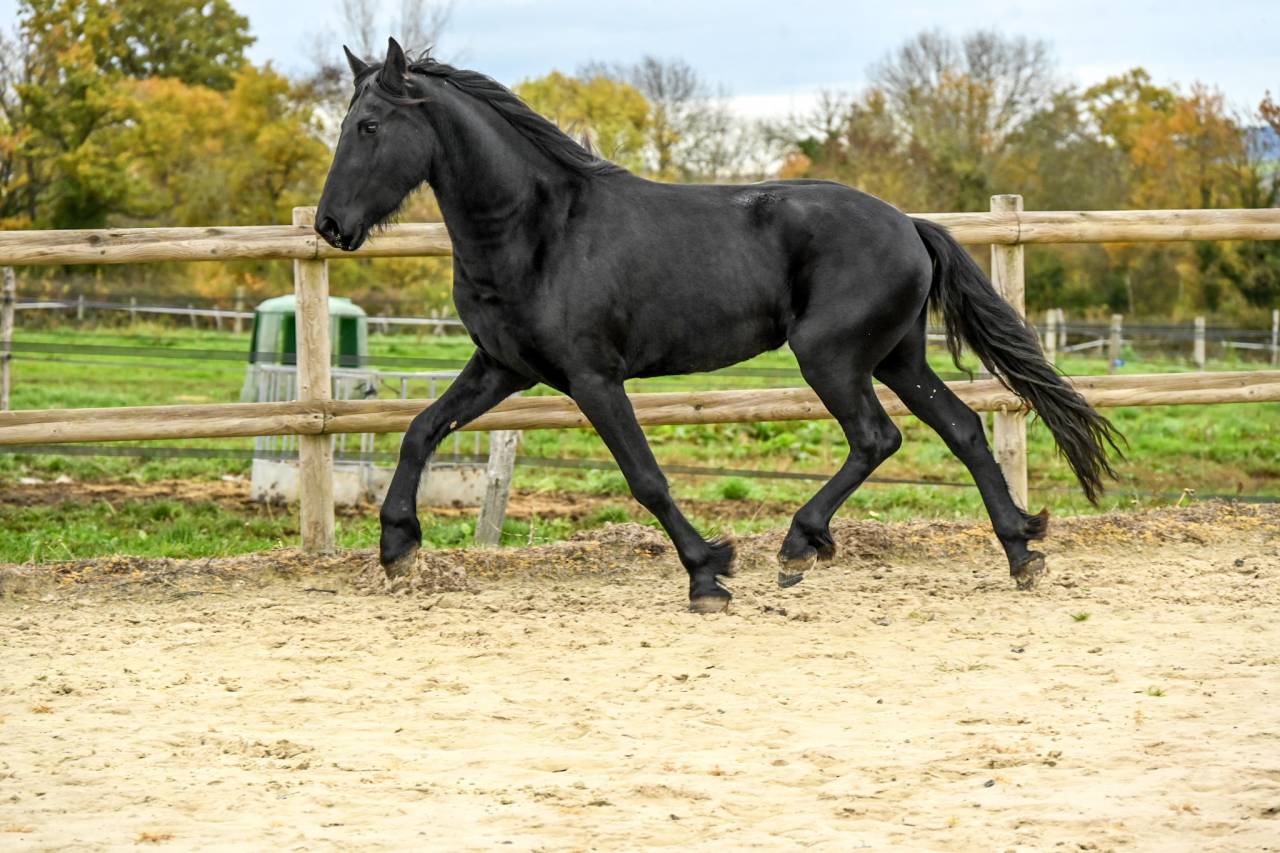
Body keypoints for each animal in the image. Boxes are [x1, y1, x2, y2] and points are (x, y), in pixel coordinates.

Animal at [315, 38, 1121, 613]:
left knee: (877, 437)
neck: (540, 230)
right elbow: (420, 428)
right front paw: (398, 547)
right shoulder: (503, 366)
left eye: (369, 125)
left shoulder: (592, 378)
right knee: (963, 429)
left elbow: (646, 478)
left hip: (830, 357)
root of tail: (909, 224)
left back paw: (799, 547)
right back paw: (1021, 552)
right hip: (895, 358)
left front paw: (709, 574)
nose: (329, 226)